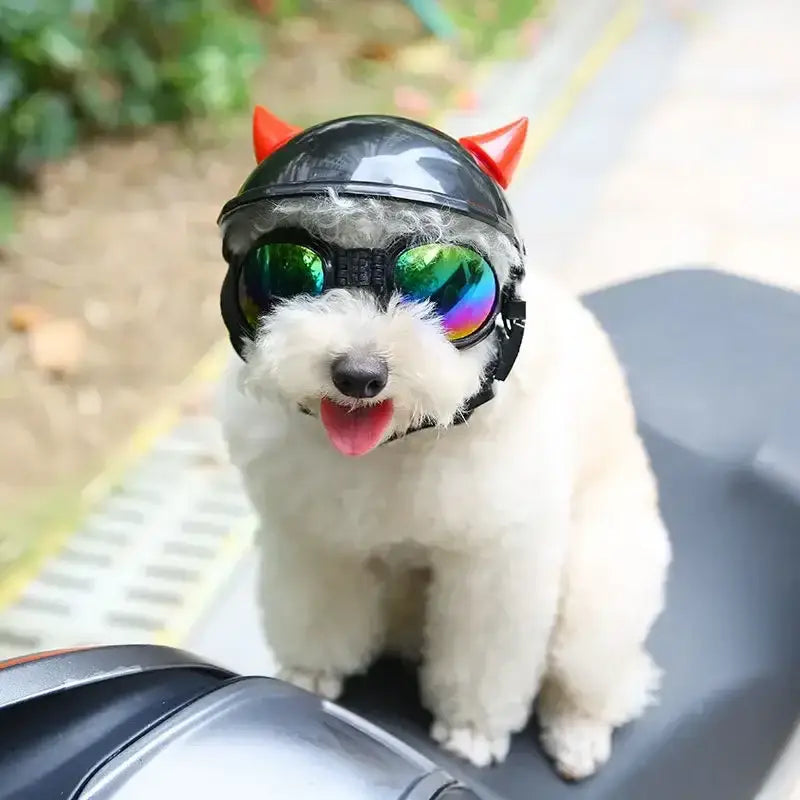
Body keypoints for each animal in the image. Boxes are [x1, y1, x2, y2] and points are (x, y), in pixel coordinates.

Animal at [216, 194, 672, 780]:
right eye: (292, 267)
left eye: (441, 280)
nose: (358, 375)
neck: (396, 443)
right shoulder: (315, 538)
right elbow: (317, 614)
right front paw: (311, 675)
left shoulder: (495, 562)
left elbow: (483, 660)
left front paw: (472, 730)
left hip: (598, 597)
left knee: (602, 681)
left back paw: (577, 737)